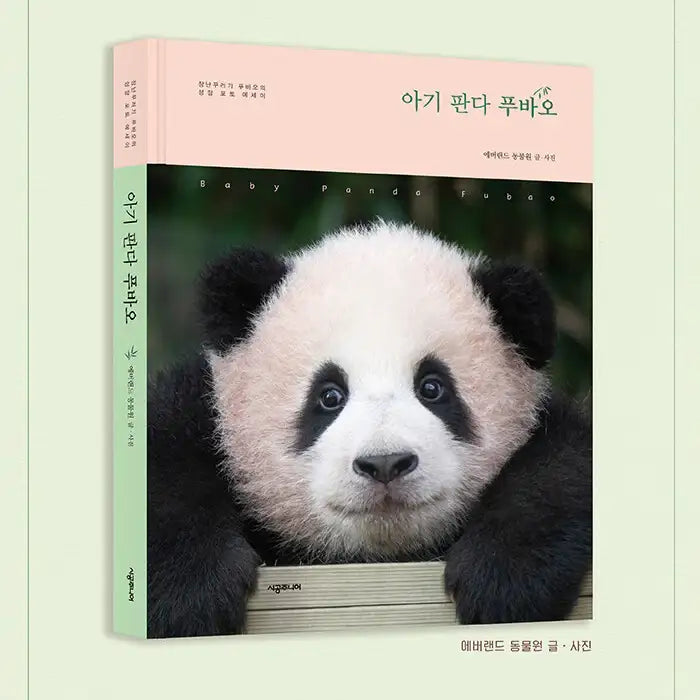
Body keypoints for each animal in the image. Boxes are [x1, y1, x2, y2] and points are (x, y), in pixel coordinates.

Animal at [146, 219, 592, 639]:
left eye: (433, 387)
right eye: (329, 395)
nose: (385, 463)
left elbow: (565, 461)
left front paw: (504, 582)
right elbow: (165, 455)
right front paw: (191, 596)